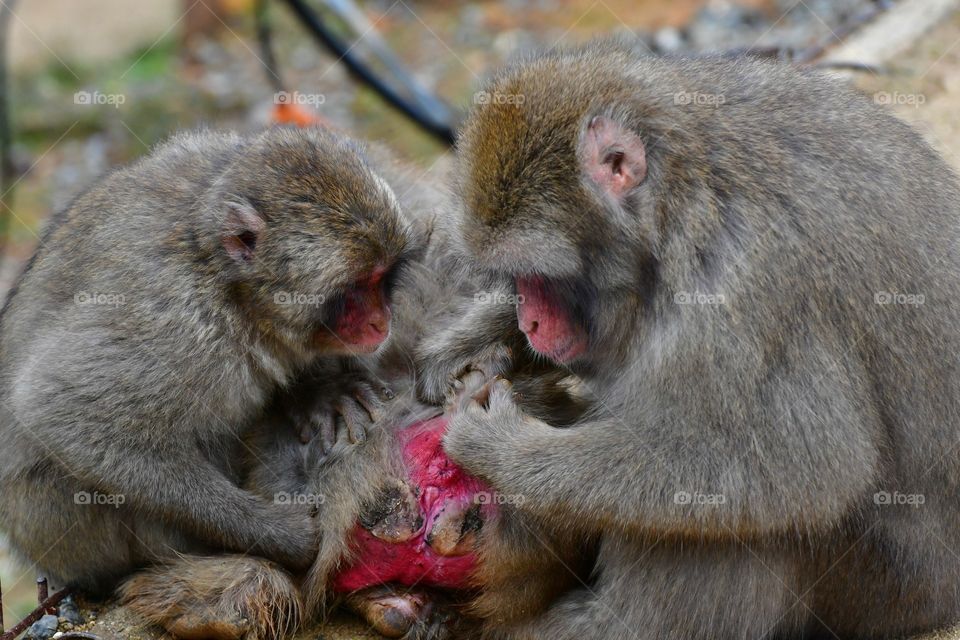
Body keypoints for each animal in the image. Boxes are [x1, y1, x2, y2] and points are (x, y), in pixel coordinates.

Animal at [0, 126, 416, 596]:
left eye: (383, 278)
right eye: (356, 288)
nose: (382, 321)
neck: (231, 288)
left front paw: (321, 391)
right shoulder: (177, 321)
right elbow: (58, 409)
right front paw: (279, 534)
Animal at [420, 41, 960, 640]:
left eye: (539, 276)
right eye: (514, 280)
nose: (531, 323)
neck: (683, 191)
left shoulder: (742, 284)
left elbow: (805, 467)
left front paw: (498, 447)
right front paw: (465, 348)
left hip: (887, 586)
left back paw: (608, 626)